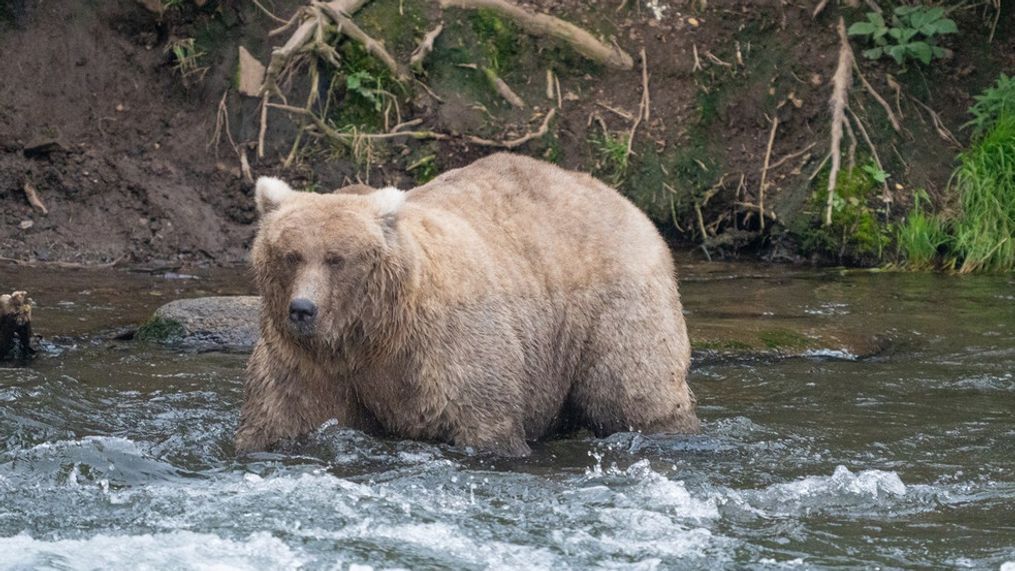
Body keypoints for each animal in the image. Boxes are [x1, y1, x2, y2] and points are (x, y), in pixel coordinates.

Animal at [235, 152, 698, 456]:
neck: (371, 334)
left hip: (614, 305)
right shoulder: (308, 363)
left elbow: (484, 421)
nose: (302, 309)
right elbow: (280, 416)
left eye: (336, 258)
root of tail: (623, 200)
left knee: (633, 390)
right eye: (291, 254)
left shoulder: (446, 350)